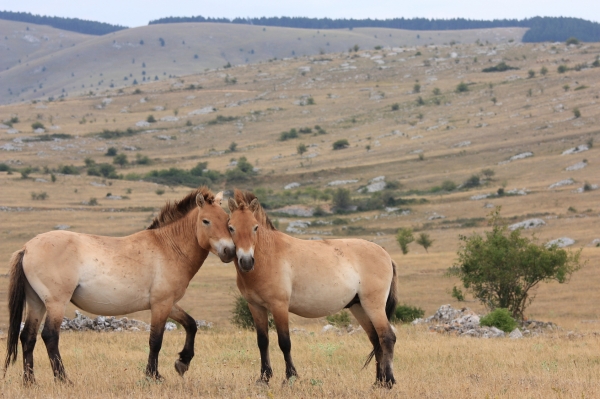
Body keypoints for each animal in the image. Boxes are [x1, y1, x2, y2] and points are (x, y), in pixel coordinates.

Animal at [4, 188, 234, 384]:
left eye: (227, 221)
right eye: (206, 221)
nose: (229, 251)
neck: (168, 246)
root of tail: (27, 248)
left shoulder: (169, 304)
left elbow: (191, 324)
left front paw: (182, 363)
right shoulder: (161, 304)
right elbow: (156, 340)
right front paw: (153, 376)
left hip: (37, 302)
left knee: (28, 337)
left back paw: (30, 382)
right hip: (56, 303)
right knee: (49, 336)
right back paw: (63, 380)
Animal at [225, 191, 398, 388]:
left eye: (255, 227)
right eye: (231, 227)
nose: (246, 262)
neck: (268, 255)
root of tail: (385, 254)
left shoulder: (279, 306)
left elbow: (284, 342)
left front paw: (290, 377)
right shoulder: (256, 307)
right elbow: (263, 342)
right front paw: (263, 378)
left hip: (373, 305)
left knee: (387, 337)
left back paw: (389, 382)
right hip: (359, 307)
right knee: (375, 339)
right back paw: (378, 382)